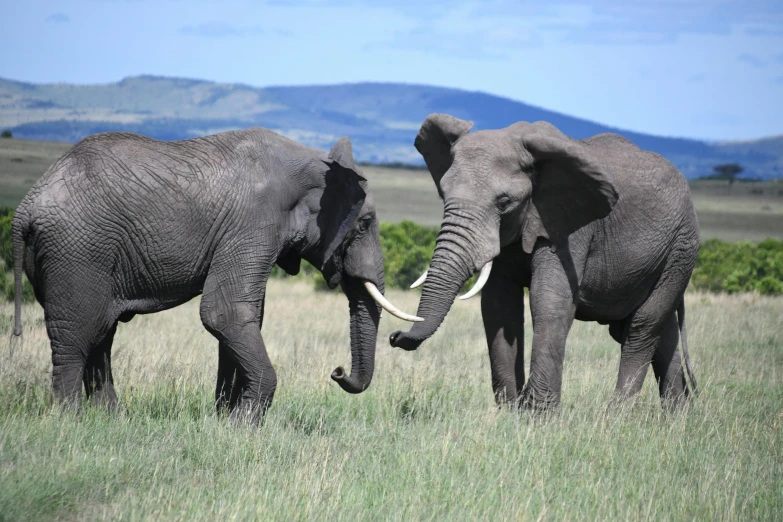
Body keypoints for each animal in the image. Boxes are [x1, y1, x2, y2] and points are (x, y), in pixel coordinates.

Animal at [9, 127, 420, 422]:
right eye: (364, 224)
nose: (337, 372)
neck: (312, 163)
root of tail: (26, 205)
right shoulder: (254, 222)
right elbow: (224, 312)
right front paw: (245, 425)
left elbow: (244, 316)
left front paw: (224, 419)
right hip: (76, 252)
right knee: (78, 334)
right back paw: (71, 423)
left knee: (101, 335)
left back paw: (111, 420)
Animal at [388, 114, 700, 410]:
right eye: (443, 194)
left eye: (504, 202)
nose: (394, 336)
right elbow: (499, 306)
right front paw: (510, 414)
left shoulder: (569, 227)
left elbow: (549, 302)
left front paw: (537, 416)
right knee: (662, 332)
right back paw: (676, 418)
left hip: (681, 249)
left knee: (642, 327)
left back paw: (614, 417)